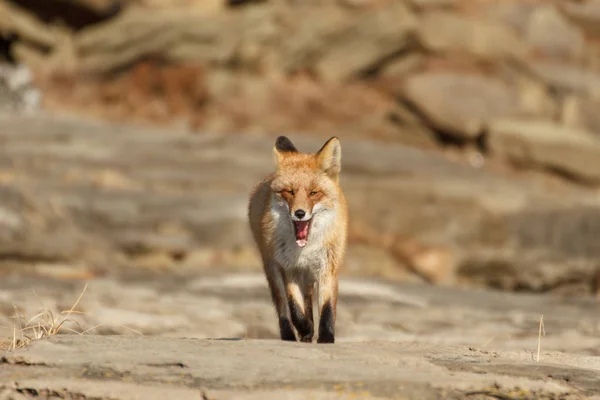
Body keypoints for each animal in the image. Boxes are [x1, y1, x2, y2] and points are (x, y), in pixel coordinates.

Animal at [247, 136, 346, 342]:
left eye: (313, 193)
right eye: (290, 191)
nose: (299, 213)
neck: (305, 248)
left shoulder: (328, 267)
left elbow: (327, 309)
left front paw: (326, 338)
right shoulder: (289, 268)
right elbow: (295, 309)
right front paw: (305, 328)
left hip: (307, 276)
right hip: (273, 270)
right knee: (283, 309)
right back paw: (291, 335)